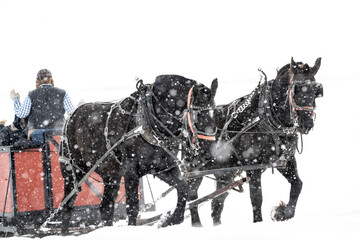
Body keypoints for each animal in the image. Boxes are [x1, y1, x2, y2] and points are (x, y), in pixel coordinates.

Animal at [59, 75, 217, 232]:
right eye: (198, 114)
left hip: (111, 176)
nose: (210, 152)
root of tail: (71, 117)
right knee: (67, 205)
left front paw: (169, 220)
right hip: (72, 173)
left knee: (106, 208)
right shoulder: (131, 171)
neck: (149, 120)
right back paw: (65, 232)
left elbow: (183, 188)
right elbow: (133, 206)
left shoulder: (162, 168)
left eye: (215, 112)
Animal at [186, 57, 324, 226]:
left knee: (216, 203)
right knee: (192, 199)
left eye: (317, 91)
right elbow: (256, 198)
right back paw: (196, 225)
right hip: (194, 171)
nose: (307, 124)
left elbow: (297, 185)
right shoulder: (252, 166)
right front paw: (259, 222)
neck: (266, 120)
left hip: (225, 174)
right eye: (296, 90)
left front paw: (283, 212)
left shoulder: (285, 160)